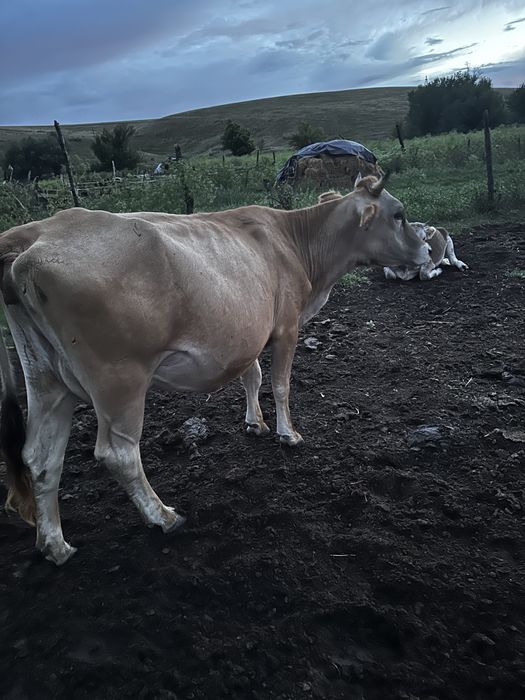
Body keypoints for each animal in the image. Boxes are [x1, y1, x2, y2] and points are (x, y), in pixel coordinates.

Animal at [0, 173, 432, 565]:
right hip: (118, 378)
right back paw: (163, 516)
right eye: (399, 214)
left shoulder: (249, 332)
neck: (294, 242)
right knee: (118, 453)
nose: (428, 251)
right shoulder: (287, 327)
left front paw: (254, 423)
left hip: (47, 380)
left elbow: (252, 376)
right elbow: (280, 384)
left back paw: (55, 545)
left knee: (40, 457)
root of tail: (36, 233)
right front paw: (287, 433)